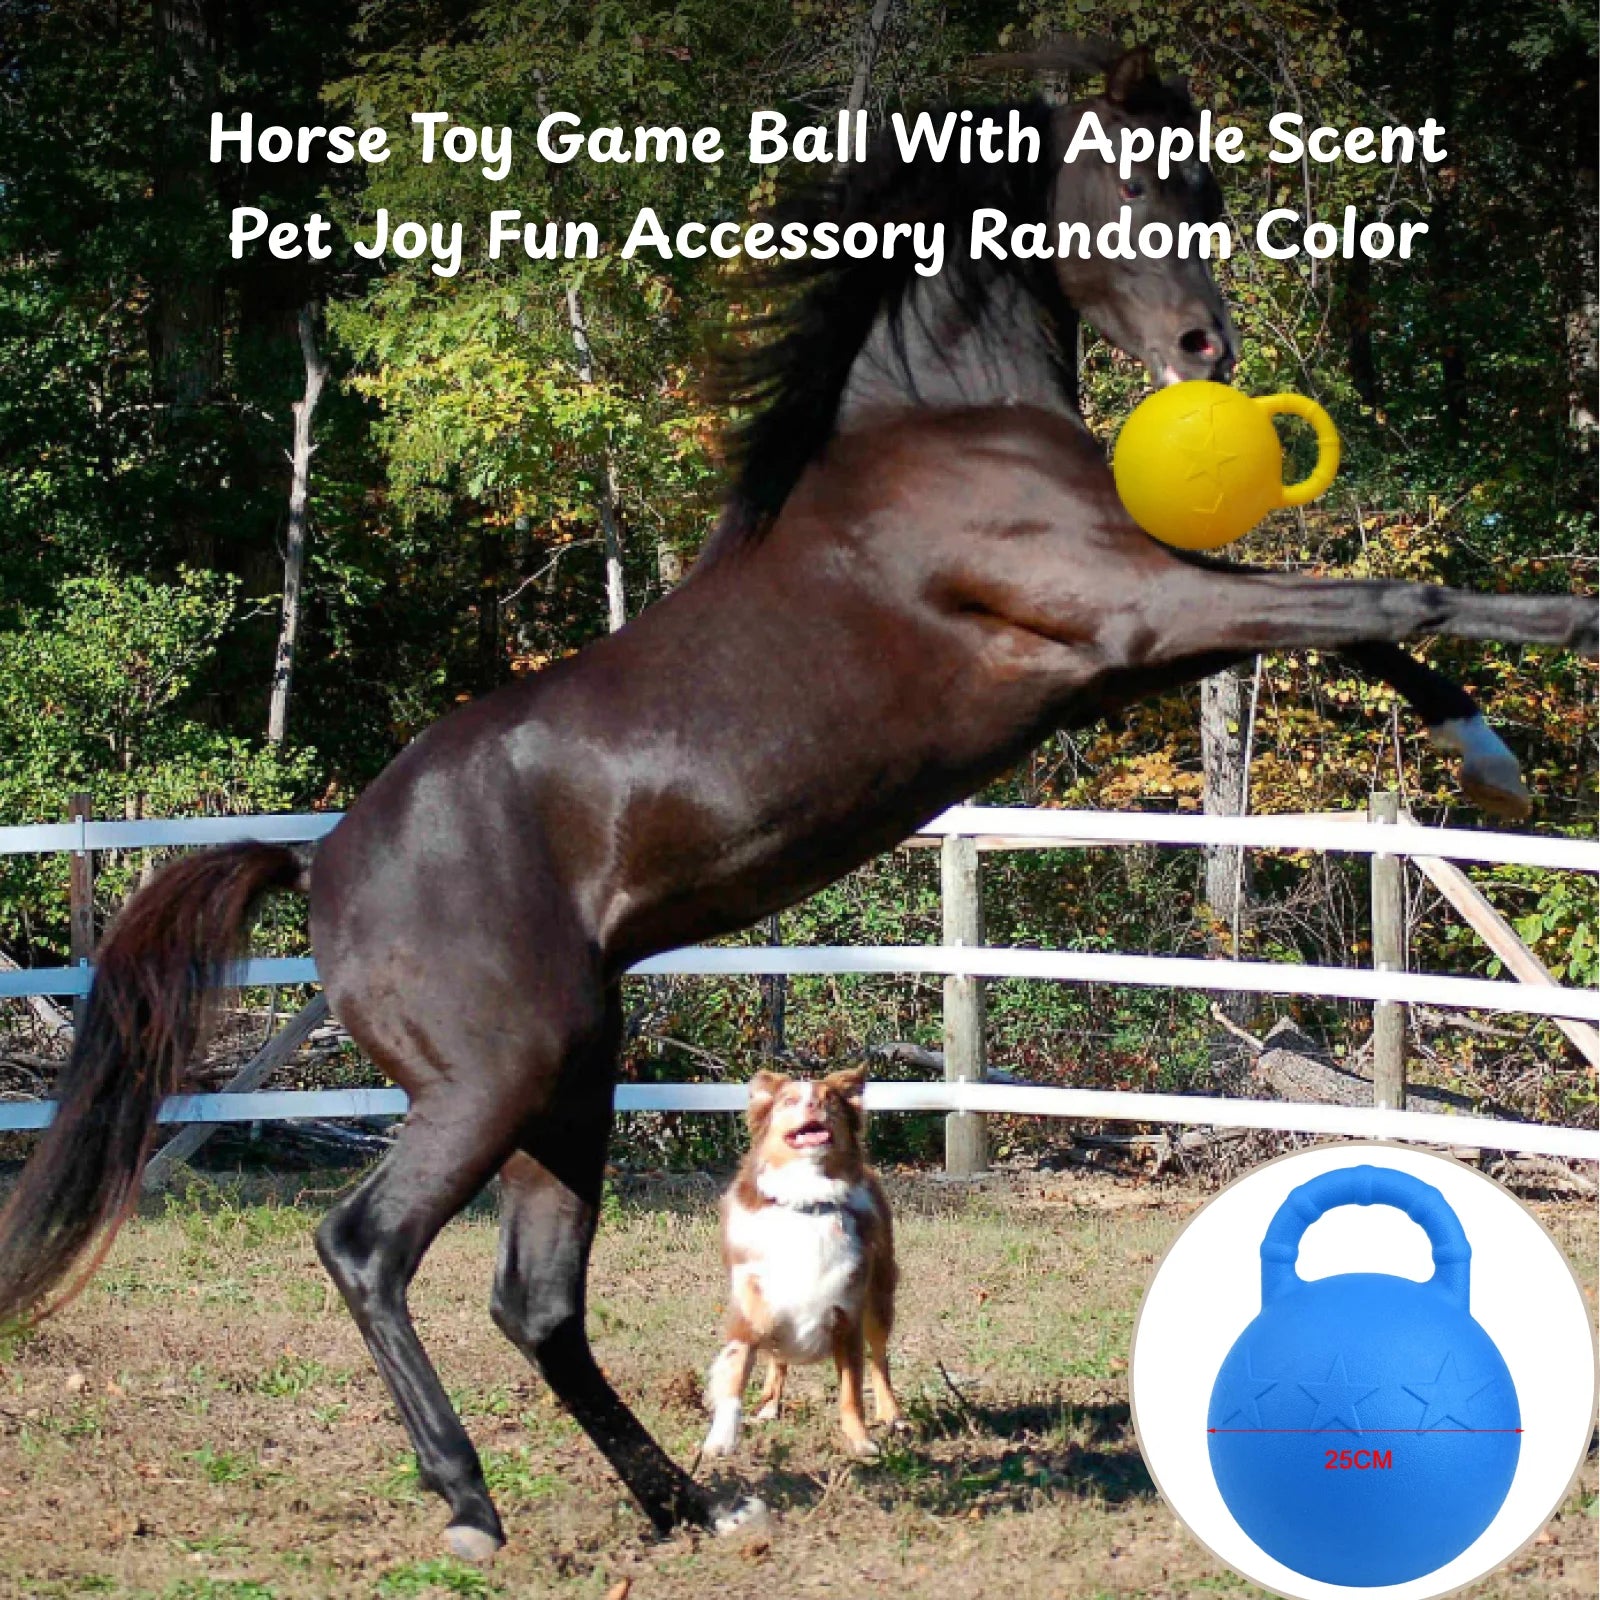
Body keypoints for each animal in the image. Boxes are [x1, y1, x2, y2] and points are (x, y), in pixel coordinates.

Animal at [0, 48, 1591, 1560]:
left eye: (1202, 188)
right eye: (1132, 188)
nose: (1210, 348)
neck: (943, 429)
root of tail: (322, 862)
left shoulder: (1134, 641)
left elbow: (1357, 620)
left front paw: (1491, 752)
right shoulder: (1130, 617)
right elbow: (1386, 594)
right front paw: (1557, 645)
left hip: (566, 1081)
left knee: (537, 1302)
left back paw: (695, 1507)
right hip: (493, 1080)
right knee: (366, 1247)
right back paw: (468, 1503)